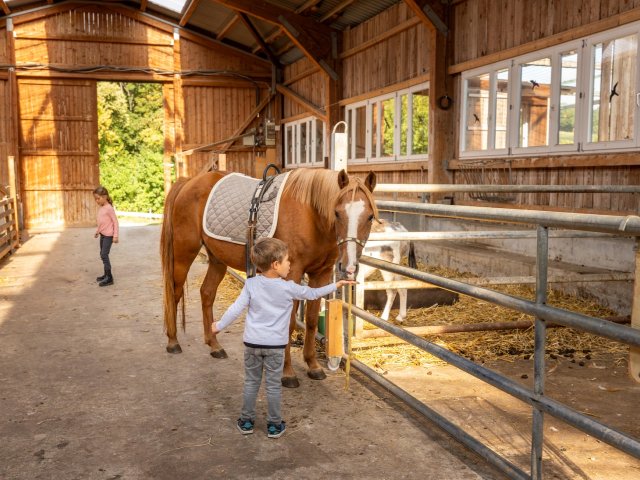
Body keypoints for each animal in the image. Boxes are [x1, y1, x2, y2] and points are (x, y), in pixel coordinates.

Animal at [160, 168, 377, 388]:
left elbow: (311, 321)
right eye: (337, 213)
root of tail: (188, 181)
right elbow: (289, 324)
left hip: (217, 259)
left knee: (206, 293)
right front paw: (288, 373)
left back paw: (214, 346)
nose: (349, 266)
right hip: (183, 253)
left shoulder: (321, 274)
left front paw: (313, 366)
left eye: (369, 217)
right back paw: (173, 342)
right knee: (174, 293)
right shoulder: (292, 274)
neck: (311, 214)